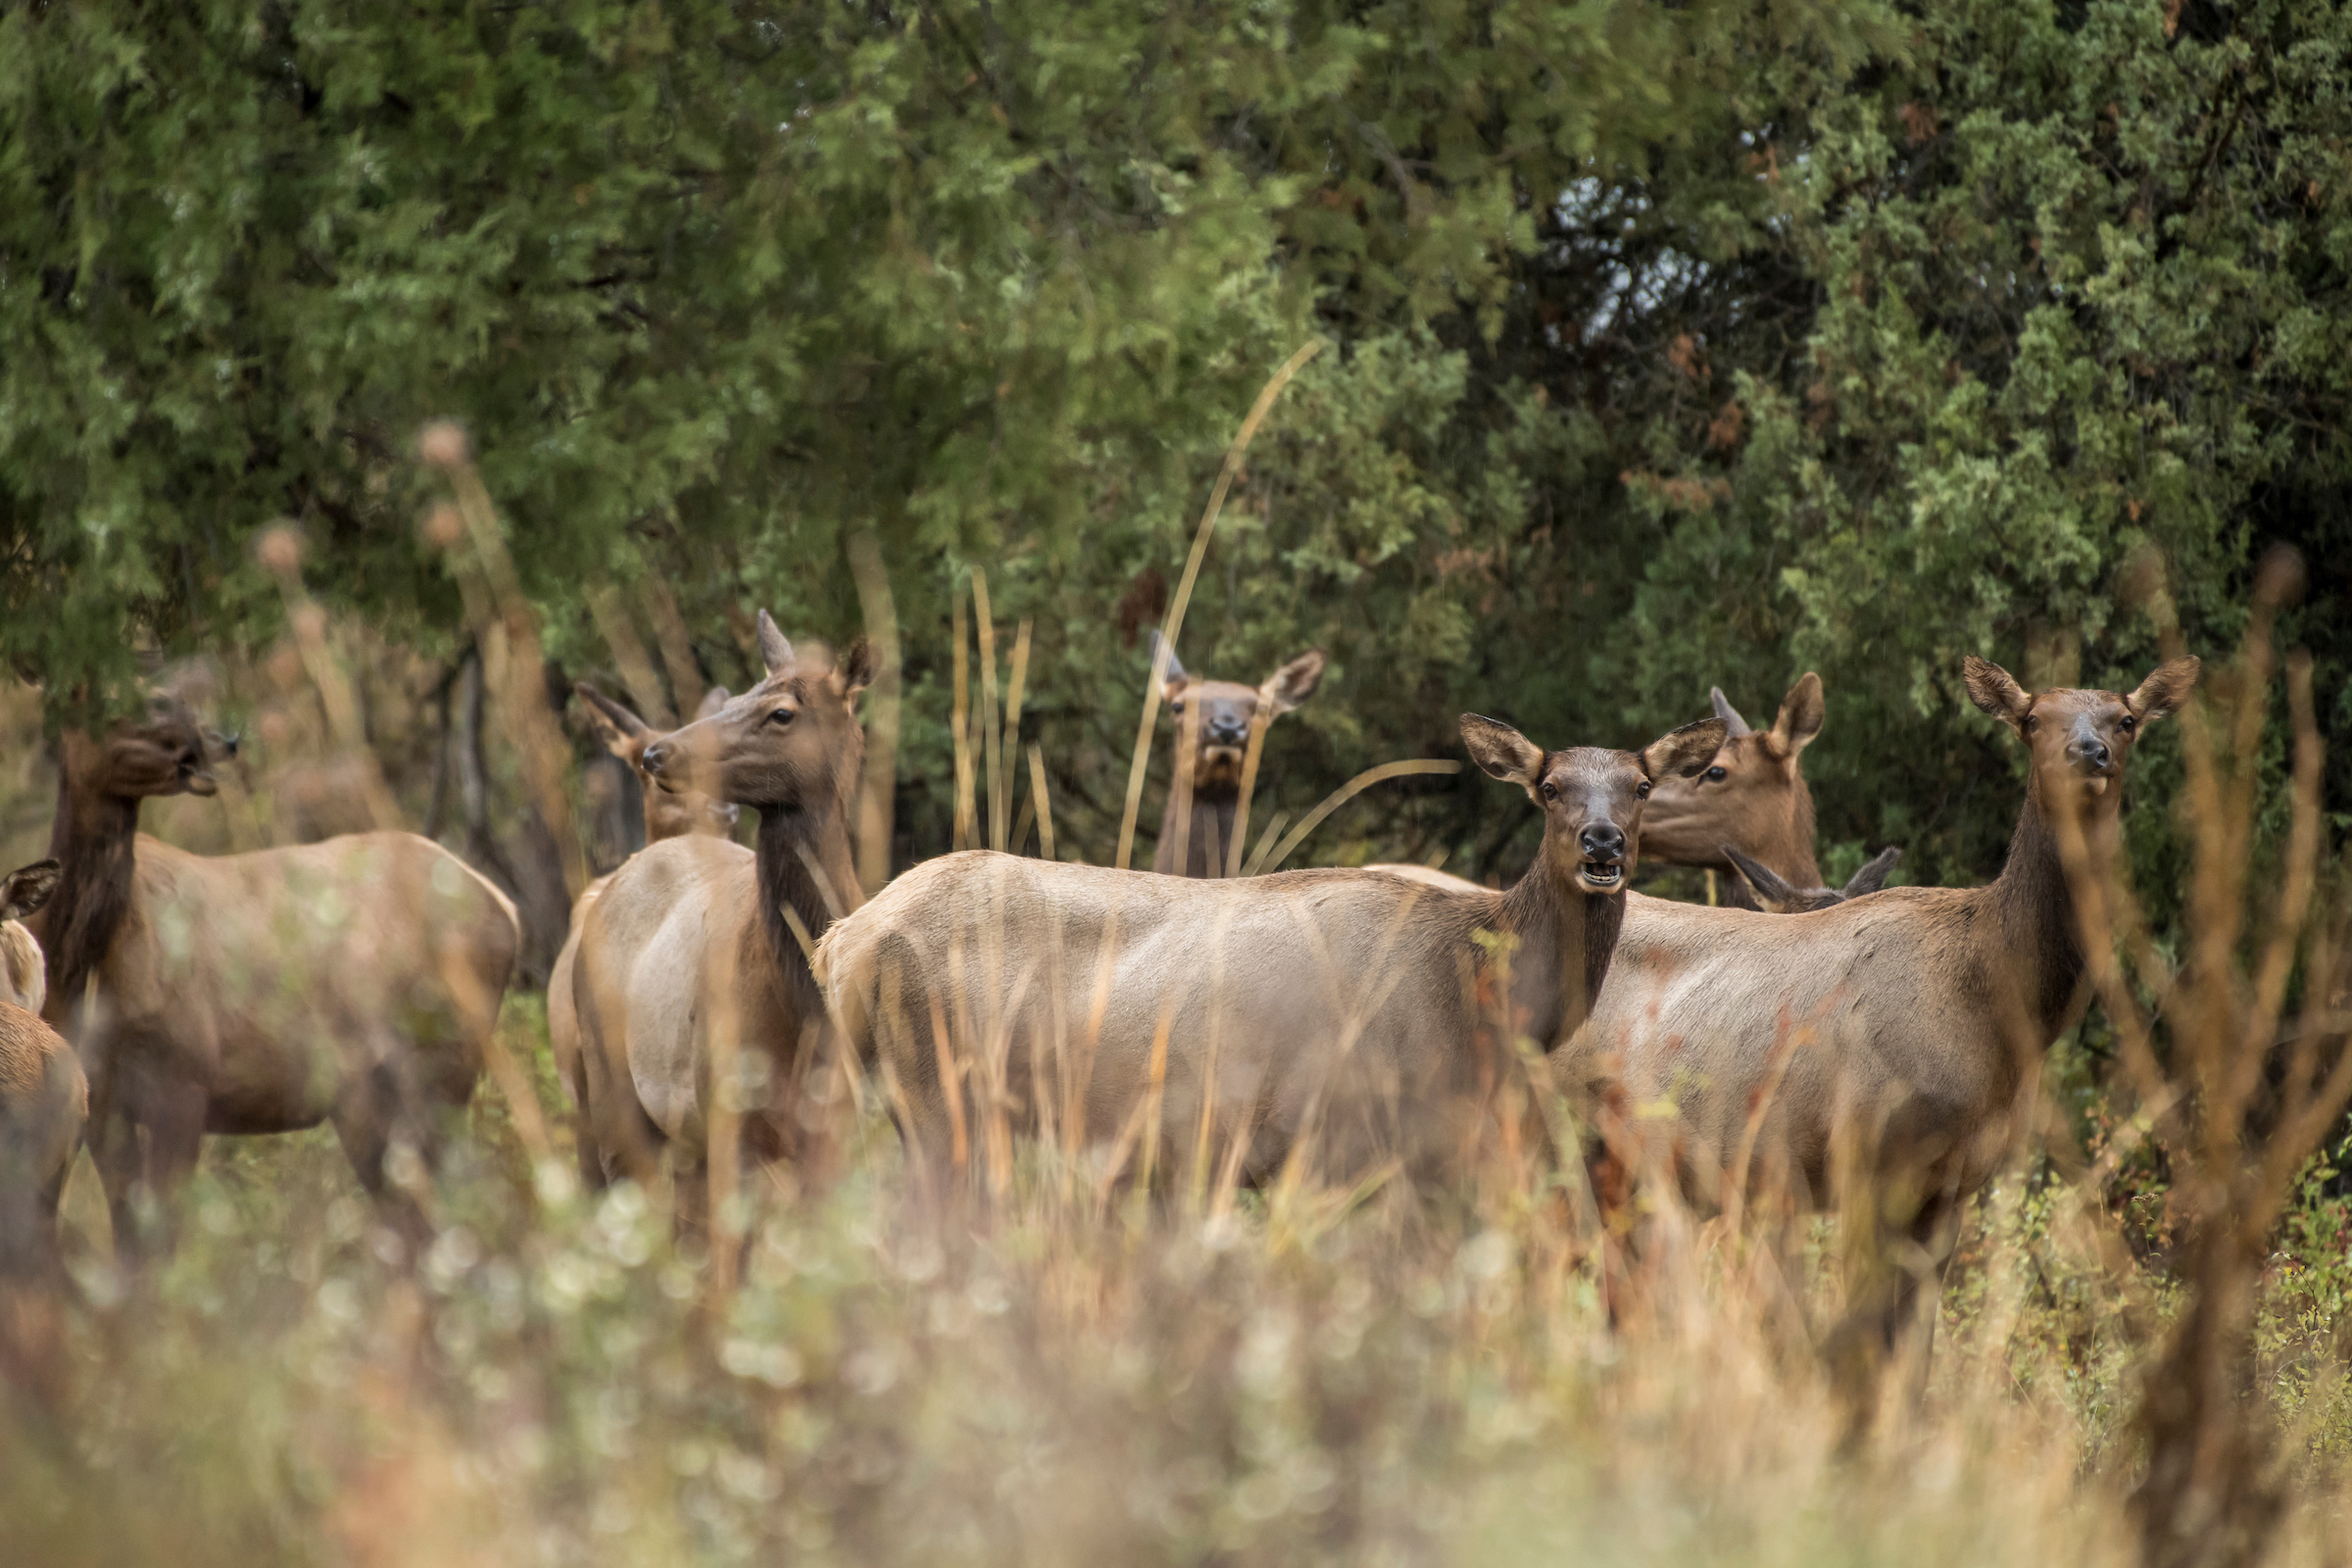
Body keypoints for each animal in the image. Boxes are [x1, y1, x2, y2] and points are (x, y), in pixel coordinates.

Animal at [30, 691, 524, 1259]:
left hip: (441, 1068)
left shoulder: (185, 1075)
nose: (208, 745)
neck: (82, 967)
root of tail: (507, 909)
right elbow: (130, 1238)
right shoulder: (103, 1100)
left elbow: (163, 1241)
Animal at [568, 620, 874, 1222]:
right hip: (611, 1088)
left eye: (781, 712)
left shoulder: (841, 1130)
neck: (802, 1011)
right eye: (733, 700)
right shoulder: (730, 1118)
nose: (659, 753)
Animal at [813, 710, 1731, 1189]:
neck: (1474, 998)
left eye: (1641, 785)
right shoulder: (1344, 1138)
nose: (1603, 843)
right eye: (1550, 788)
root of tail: (843, 940)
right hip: (943, 1090)